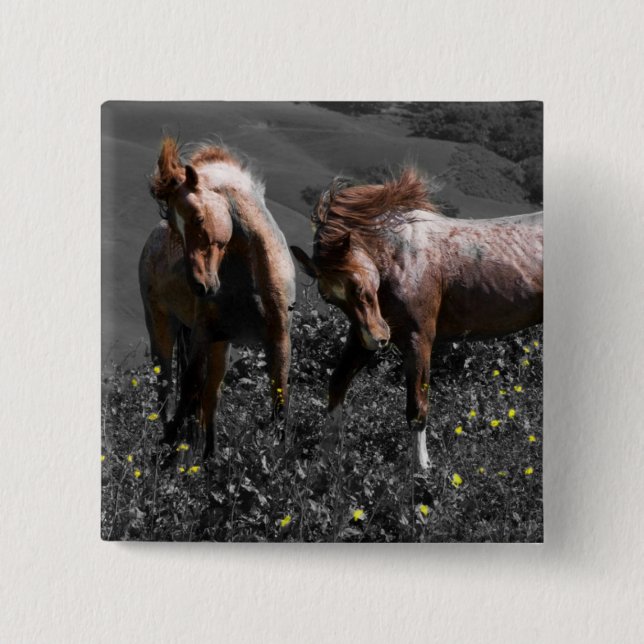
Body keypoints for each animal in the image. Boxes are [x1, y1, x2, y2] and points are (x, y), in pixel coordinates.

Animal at [139, 137, 296, 460]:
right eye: (175, 228)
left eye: (199, 218)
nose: (200, 286)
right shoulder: (201, 335)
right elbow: (188, 389)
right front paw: (169, 453)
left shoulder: (279, 340)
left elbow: (279, 400)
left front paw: (280, 457)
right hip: (162, 329)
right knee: (167, 391)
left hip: (221, 345)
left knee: (211, 395)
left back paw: (210, 458)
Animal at [291, 168, 543, 471]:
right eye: (329, 298)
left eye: (358, 287)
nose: (379, 339)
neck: (401, 257)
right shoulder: (360, 336)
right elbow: (337, 384)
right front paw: (324, 459)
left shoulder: (418, 340)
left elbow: (417, 406)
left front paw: (421, 468)